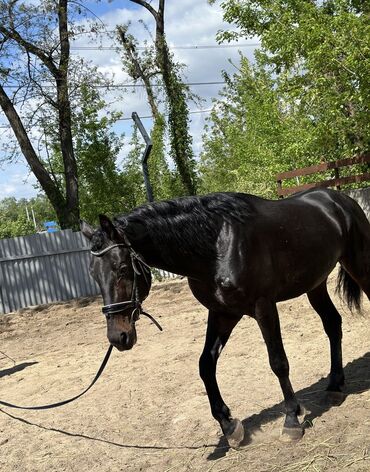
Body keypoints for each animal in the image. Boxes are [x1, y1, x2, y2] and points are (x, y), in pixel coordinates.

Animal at [79, 188, 368, 446]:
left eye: (122, 268)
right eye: (93, 274)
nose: (118, 336)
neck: (216, 246)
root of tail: (338, 199)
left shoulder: (264, 307)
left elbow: (278, 362)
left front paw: (291, 421)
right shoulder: (222, 313)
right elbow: (206, 365)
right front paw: (229, 426)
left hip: (358, 265)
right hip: (315, 285)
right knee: (333, 324)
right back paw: (334, 386)